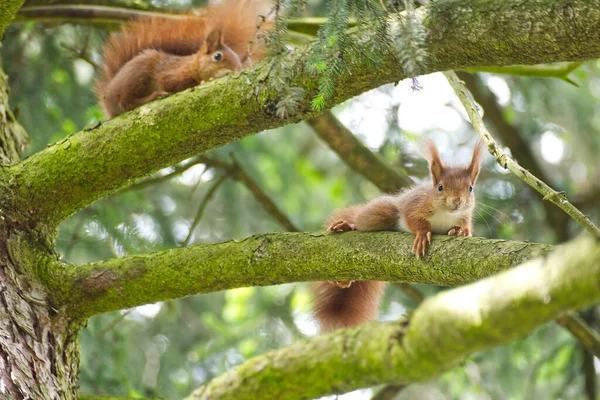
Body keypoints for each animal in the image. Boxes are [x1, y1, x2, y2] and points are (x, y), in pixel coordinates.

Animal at [95, 0, 272, 118]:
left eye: (237, 58)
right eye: (217, 56)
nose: (237, 69)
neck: (193, 64)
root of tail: (107, 96)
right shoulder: (172, 73)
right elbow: (171, 82)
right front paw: (202, 81)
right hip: (138, 76)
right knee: (125, 102)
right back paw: (152, 96)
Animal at [312, 138, 486, 332]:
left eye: (470, 188)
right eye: (440, 187)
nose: (457, 201)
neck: (445, 213)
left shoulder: (465, 216)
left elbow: (464, 228)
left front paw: (461, 231)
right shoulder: (415, 204)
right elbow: (413, 219)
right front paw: (422, 234)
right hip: (383, 212)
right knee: (365, 220)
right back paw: (349, 225)